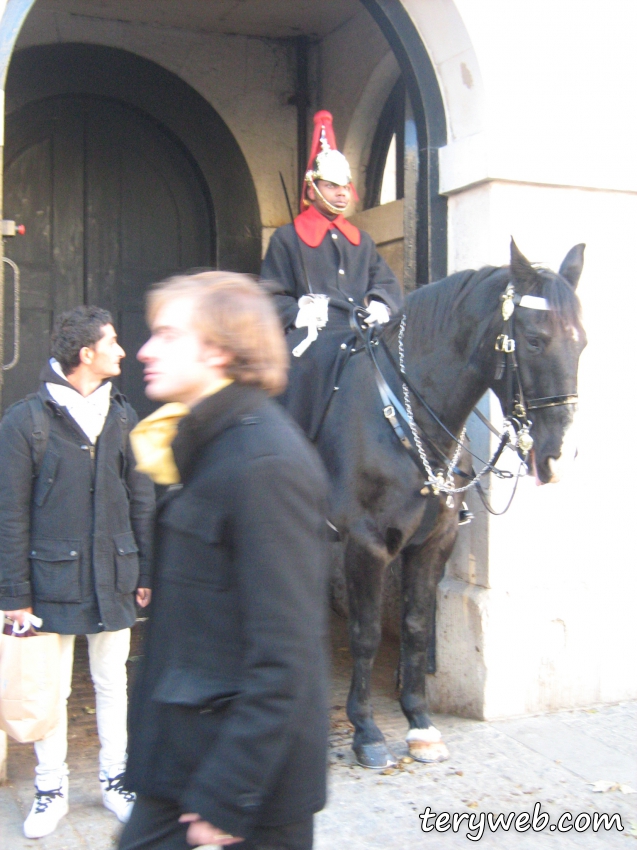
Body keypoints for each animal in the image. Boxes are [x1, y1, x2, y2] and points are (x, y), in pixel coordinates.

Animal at [314, 240, 588, 768]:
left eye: (581, 342)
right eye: (535, 340)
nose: (558, 457)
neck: (405, 415)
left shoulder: (433, 542)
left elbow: (417, 626)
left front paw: (419, 723)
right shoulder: (366, 544)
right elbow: (366, 633)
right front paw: (366, 730)